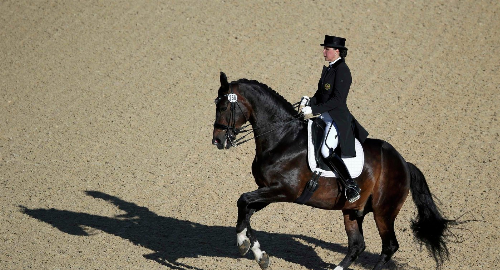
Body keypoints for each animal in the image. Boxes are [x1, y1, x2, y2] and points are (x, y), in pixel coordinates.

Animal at [211, 72, 454, 270]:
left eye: (224, 107)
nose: (218, 141)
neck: (283, 139)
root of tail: (403, 163)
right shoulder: (268, 190)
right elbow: (246, 210)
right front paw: (259, 255)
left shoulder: (284, 191)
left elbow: (243, 201)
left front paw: (242, 245)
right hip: (352, 211)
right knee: (357, 245)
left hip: (383, 211)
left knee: (389, 247)